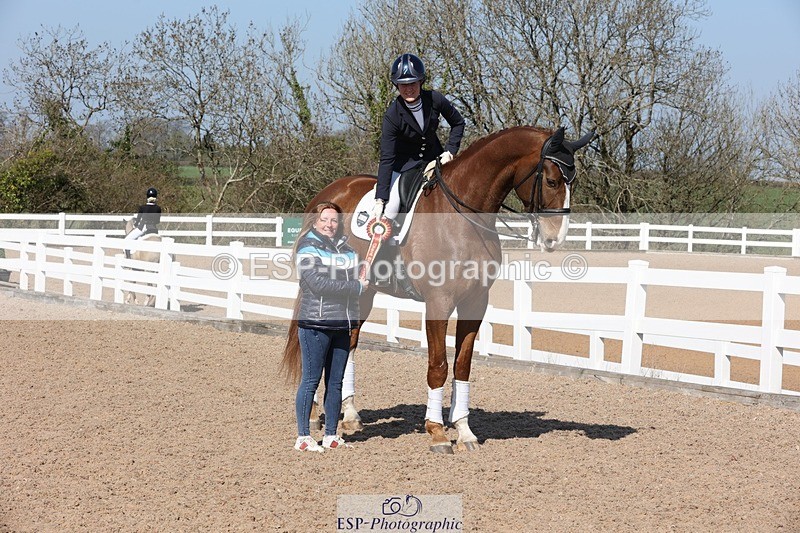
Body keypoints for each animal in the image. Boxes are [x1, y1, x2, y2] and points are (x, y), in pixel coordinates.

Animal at [282, 125, 593, 453]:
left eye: (573, 181)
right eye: (552, 180)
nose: (555, 239)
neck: (465, 217)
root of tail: (327, 193)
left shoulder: (475, 303)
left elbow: (462, 366)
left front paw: (464, 430)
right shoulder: (438, 302)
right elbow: (439, 366)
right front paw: (437, 432)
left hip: (362, 293)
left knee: (350, 344)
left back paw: (351, 415)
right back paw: (314, 414)